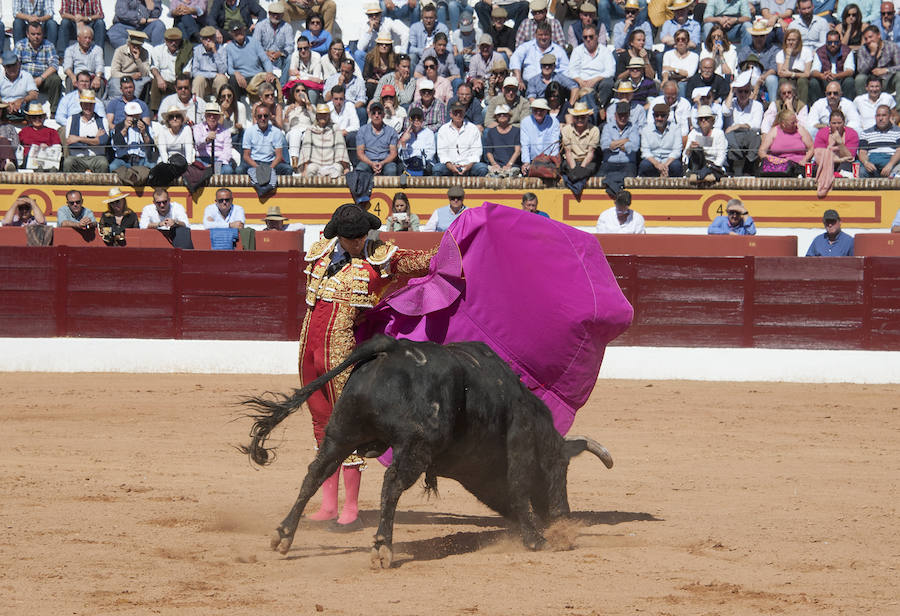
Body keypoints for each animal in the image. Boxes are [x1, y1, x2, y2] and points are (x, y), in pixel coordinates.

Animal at [243, 336, 616, 568]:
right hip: (415, 446)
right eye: (559, 467)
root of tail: (391, 347)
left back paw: (284, 535)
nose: (562, 518)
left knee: (316, 473)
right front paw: (535, 539)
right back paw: (382, 548)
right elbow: (519, 488)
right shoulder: (519, 444)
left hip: (341, 433)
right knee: (391, 484)